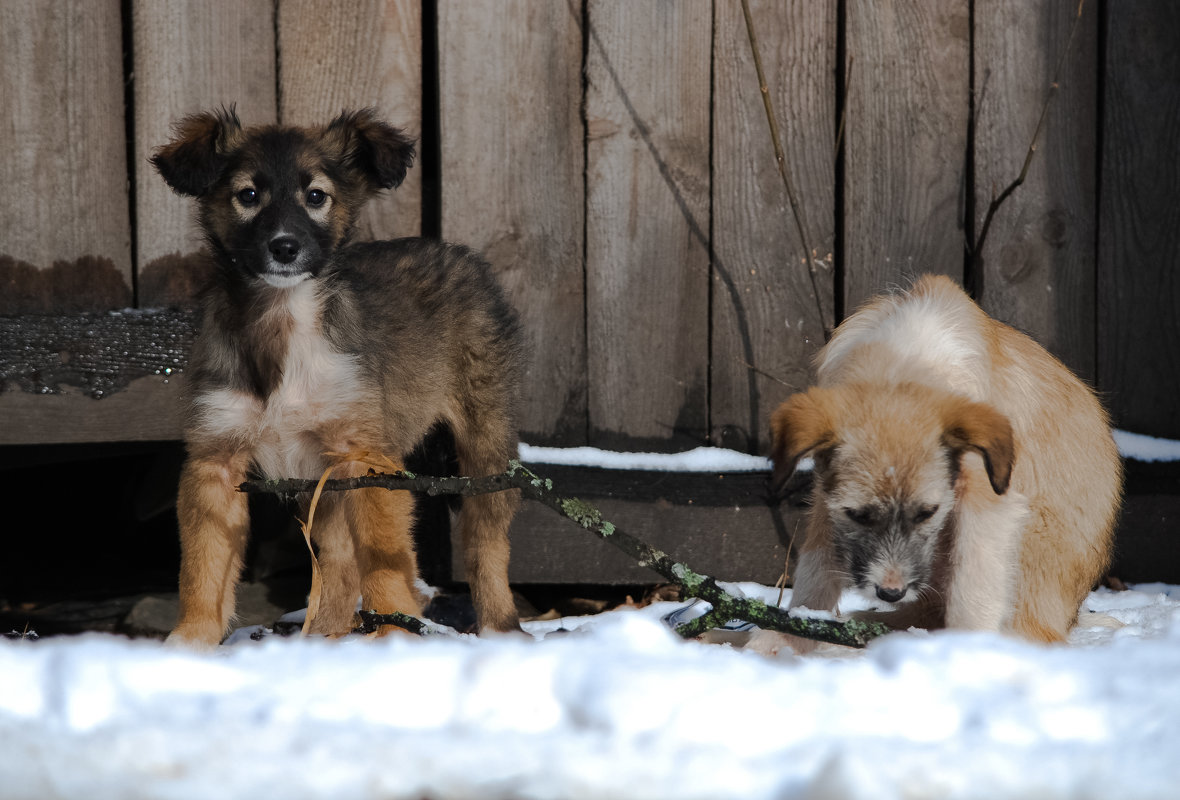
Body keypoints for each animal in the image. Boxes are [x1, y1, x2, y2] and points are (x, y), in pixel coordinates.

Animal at [154, 106, 523, 646]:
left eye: (315, 197)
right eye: (248, 195)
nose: (285, 247)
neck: (284, 320)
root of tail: (456, 252)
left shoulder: (365, 455)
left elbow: (383, 559)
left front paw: (396, 629)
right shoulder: (215, 460)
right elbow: (202, 566)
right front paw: (190, 642)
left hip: (485, 442)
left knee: (486, 542)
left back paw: (500, 627)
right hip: (325, 482)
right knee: (338, 563)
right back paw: (325, 637)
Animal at [769, 273, 1118, 646]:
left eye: (928, 513)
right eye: (858, 515)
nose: (890, 593)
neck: (899, 368)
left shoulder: (989, 505)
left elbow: (972, 592)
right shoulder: (827, 499)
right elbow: (813, 577)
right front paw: (781, 640)